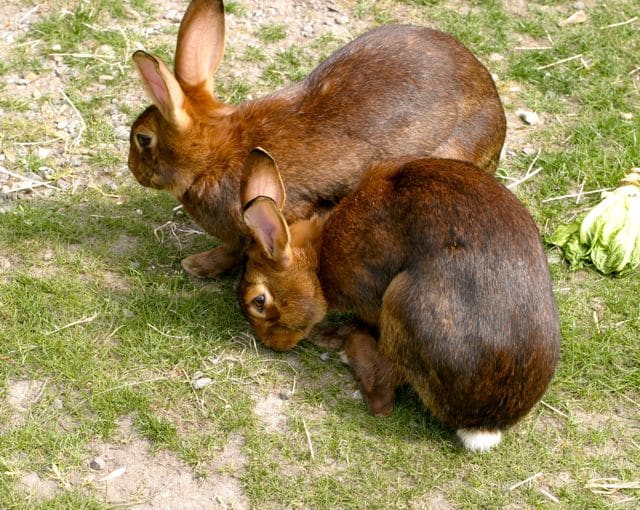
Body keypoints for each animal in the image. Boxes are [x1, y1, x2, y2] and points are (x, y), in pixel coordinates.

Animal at [128, 0, 506, 278]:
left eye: (143, 139)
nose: (132, 169)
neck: (214, 154)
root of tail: (499, 120)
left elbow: (238, 250)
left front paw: (198, 266)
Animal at [238, 148, 560, 452]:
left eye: (259, 301)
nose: (273, 345)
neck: (317, 260)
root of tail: (484, 423)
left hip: (402, 304)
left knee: (383, 396)